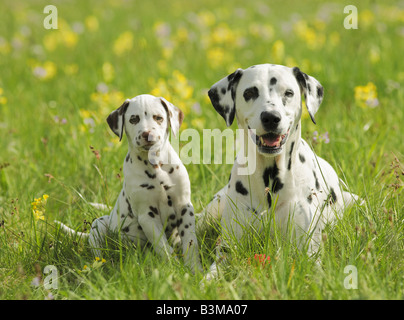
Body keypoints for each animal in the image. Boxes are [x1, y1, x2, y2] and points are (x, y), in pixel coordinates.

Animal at [56, 94, 201, 274]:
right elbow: (163, 247)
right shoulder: (147, 215)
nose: (148, 134)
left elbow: (190, 241)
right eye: (134, 119)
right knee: (98, 249)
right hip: (99, 224)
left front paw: (194, 269)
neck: (156, 167)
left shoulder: (184, 207)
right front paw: (175, 269)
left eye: (158, 118)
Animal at [197, 63, 358, 280]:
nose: (271, 117)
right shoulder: (227, 250)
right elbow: (212, 274)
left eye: (288, 93)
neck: (270, 179)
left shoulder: (307, 248)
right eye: (249, 92)